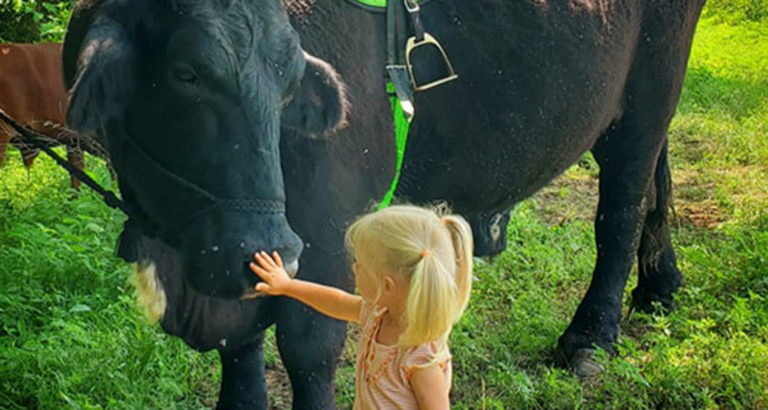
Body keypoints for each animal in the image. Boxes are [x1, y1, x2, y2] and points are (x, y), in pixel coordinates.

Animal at [61, 0, 704, 408]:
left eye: (289, 78)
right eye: (185, 73)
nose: (272, 245)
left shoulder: (320, 239)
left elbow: (309, 350)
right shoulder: (233, 258)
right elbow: (240, 354)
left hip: (652, 87)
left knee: (620, 210)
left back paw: (591, 337)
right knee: (656, 183)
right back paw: (660, 284)